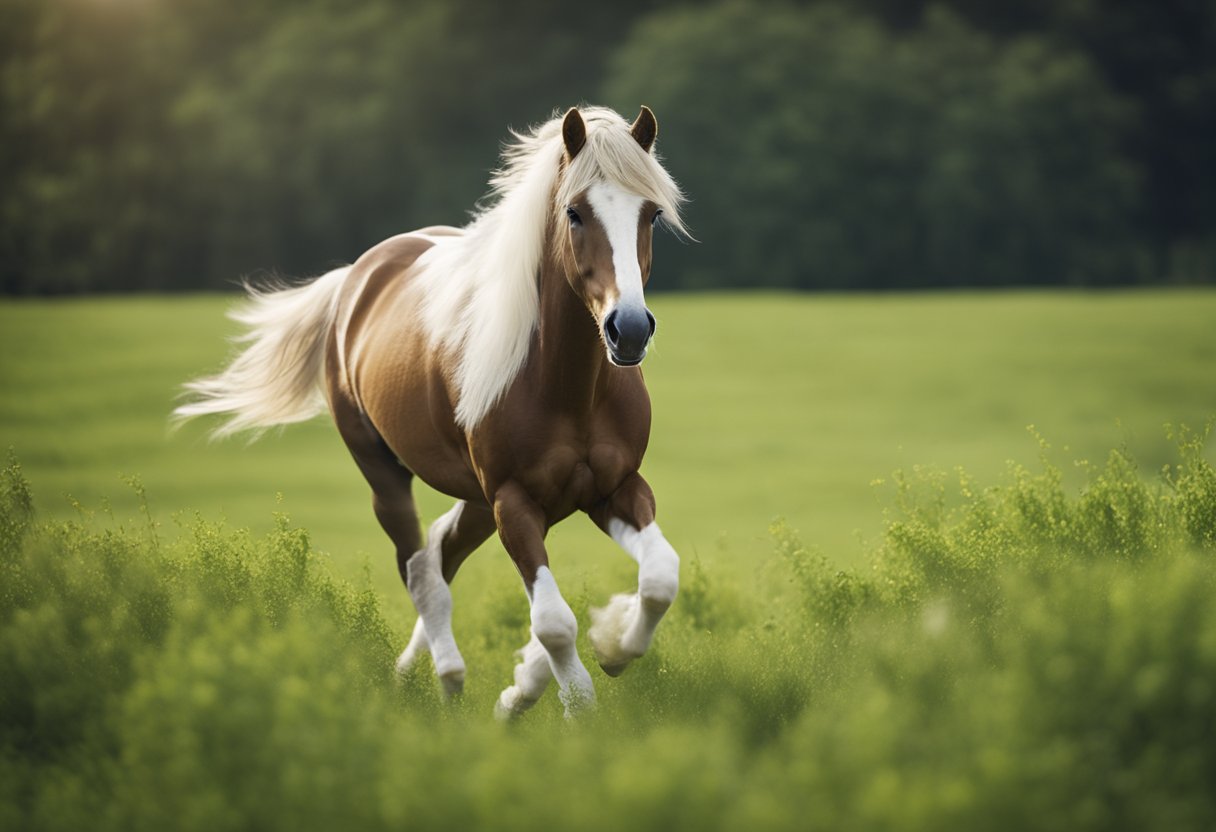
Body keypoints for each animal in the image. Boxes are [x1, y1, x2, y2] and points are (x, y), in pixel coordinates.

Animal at [177, 104, 695, 715]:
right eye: (575, 212)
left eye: (652, 214)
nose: (629, 330)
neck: (569, 387)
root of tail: (355, 279)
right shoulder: (515, 502)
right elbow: (553, 623)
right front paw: (575, 704)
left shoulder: (613, 488)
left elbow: (660, 578)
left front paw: (610, 646)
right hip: (391, 477)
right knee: (420, 570)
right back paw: (447, 680)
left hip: (480, 499)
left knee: (438, 555)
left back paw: (434, 679)